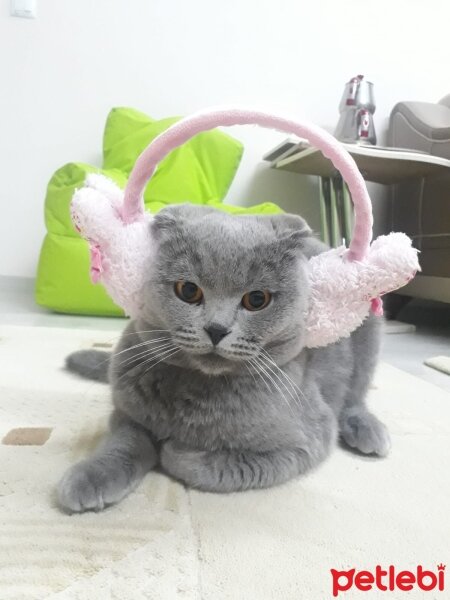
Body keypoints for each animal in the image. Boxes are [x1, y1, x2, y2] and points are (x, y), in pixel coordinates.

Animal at [59, 205, 390, 510]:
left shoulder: (304, 442)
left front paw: (175, 449)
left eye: (257, 299)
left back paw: (368, 432)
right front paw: (91, 477)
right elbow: (124, 443)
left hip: (369, 330)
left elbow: (217, 465)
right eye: (188, 290)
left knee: (355, 396)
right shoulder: (127, 413)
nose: (216, 329)